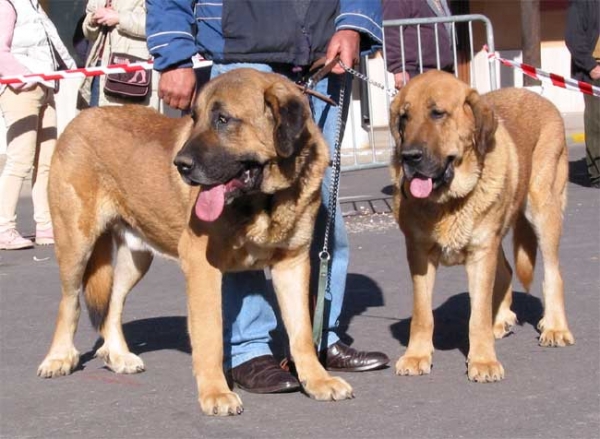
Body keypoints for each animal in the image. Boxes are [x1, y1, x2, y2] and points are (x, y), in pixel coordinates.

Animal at [37, 69, 354, 416]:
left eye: (223, 120)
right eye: (195, 118)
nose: (180, 165)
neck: (265, 199)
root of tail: (79, 119)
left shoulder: (293, 265)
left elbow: (302, 333)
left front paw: (318, 380)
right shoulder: (203, 266)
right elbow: (210, 334)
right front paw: (216, 392)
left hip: (137, 256)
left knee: (113, 303)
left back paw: (118, 356)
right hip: (75, 244)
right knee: (69, 301)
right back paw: (58, 357)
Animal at [386, 70, 576, 384]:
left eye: (438, 113)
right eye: (404, 117)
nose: (409, 156)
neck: (448, 201)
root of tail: (537, 96)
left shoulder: (480, 254)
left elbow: (477, 316)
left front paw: (483, 360)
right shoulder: (419, 255)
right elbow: (423, 313)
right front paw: (417, 356)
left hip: (542, 209)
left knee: (553, 273)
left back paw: (555, 327)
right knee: (507, 271)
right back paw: (501, 319)